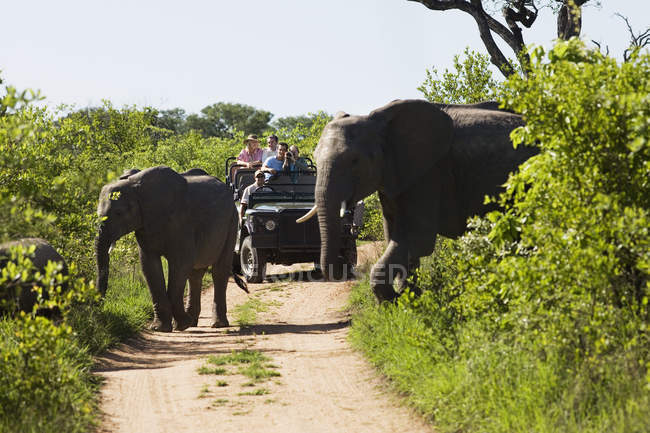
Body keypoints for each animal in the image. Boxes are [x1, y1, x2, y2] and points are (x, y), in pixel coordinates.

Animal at [95, 165, 247, 330]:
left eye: (119, 213)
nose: (100, 309)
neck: (136, 187)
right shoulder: (145, 225)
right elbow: (149, 266)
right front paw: (160, 328)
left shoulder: (180, 222)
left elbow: (181, 264)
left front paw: (180, 325)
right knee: (195, 275)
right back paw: (192, 323)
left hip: (232, 221)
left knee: (219, 271)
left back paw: (216, 324)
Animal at [296, 98, 536, 300]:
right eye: (314, 157)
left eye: (355, 161)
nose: (343, 267)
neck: (381, 125)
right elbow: (394, 236)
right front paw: (410, 300)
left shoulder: (429, 174)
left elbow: (414, 239)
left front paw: (394, 301)